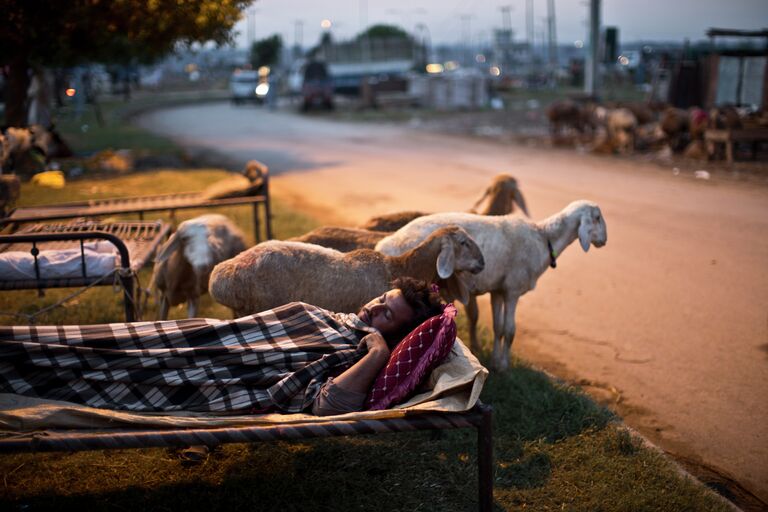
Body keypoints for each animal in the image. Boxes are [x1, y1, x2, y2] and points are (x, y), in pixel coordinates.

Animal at [376, 200, 608, 372]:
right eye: (597, 218)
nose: (604, 240)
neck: (543, 238)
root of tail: (383, 245)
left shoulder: (499, 290)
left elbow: (498, 327)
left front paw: (496, 361)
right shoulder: (513, 289)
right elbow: (511, 329)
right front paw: (505, 366)